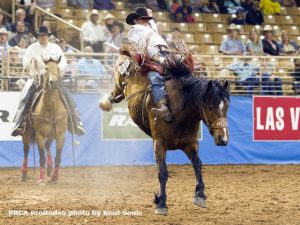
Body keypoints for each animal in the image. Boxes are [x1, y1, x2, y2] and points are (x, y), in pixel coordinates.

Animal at [20, 56, 68, 185]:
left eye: (58, 68)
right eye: (46, 68)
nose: (53, 82)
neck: (51, 108)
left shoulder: (60, 135)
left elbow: (58, 158)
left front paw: (55, 177)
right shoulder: (39, 136)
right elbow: (42, 158)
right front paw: (41, 179)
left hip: (51, 135)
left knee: (47, 146)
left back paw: (50, 168)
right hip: (26, 133)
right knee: (26, 150)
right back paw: (24, 174)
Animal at [100, 53, 230, 215]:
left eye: (227, 107)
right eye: (211, 107)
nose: (223, 138)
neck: (180, 109)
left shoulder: (190, 143)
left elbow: (197, 165)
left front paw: (200, 194)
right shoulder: (159, 143)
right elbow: (163, 173)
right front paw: (161, 203)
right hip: (119, 84)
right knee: (114, 94)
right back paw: (105, 102)